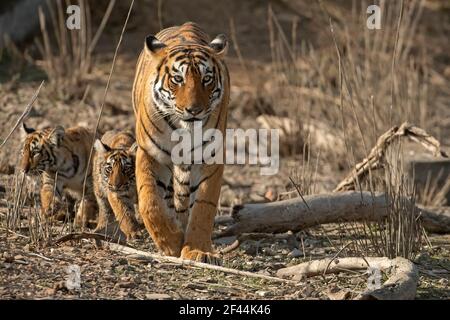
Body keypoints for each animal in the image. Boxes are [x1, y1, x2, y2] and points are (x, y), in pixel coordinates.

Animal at [131, 21, 229, 262]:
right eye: (178, 79)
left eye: (206, 79)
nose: (194, 110)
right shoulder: (151, 153)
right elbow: (150, 202)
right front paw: (171, 243)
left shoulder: (211, 159)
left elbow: (204, 207)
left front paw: (198, 250)